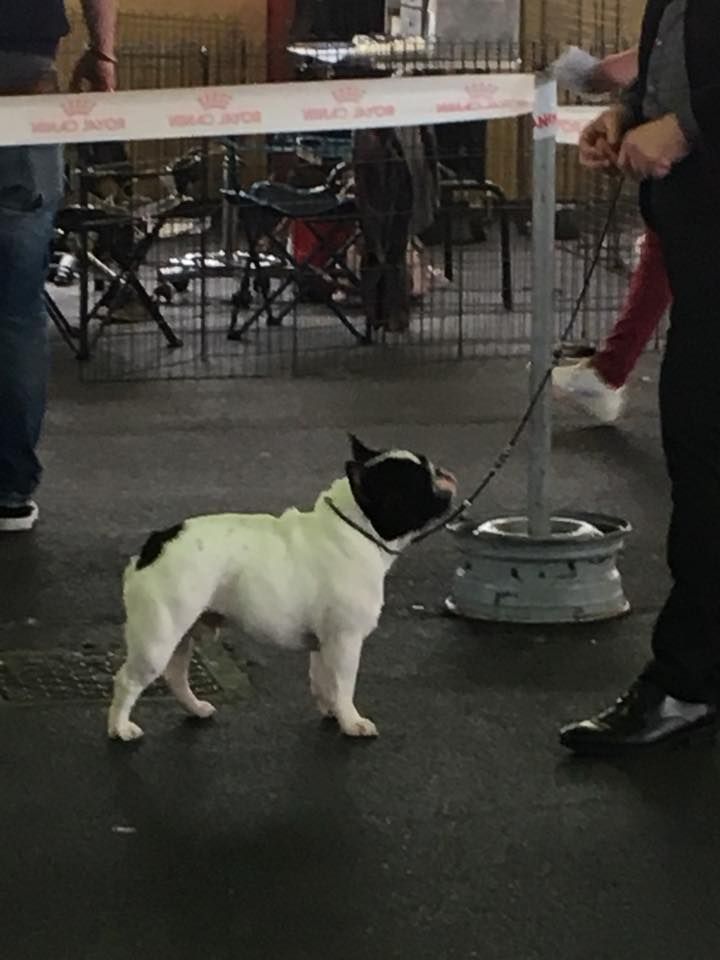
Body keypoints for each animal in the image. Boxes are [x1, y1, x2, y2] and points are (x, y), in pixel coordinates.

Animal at [108, 435, 456, 742]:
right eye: (419, 483)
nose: (443, 472)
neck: (357, 528)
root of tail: (155, 543)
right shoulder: (345, 639)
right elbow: (345, 684)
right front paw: (352, 722)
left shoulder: (325, 642)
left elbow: (323, 680)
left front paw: (332, 712)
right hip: (158, 636)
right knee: (127, 680)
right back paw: (120, 729)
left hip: (182, 632)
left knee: (176, 674)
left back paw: (195, 708)